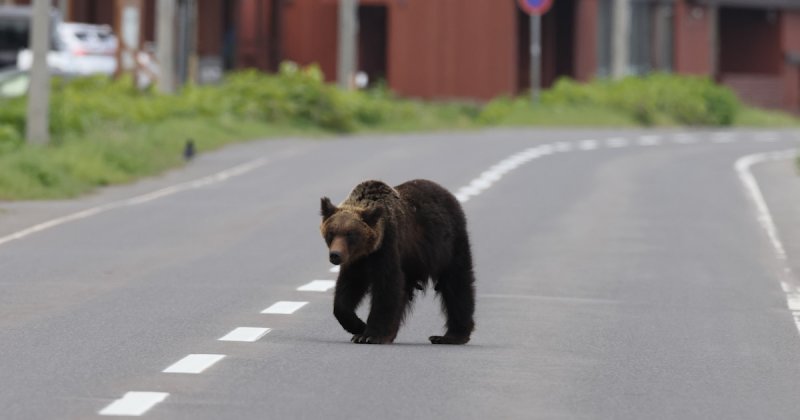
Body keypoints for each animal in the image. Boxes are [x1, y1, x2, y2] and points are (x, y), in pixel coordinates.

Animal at [319, 179, 476, 345]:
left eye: (350, 234)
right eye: (331, 232)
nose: (335, 255)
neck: (369, 250)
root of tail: (446, 192)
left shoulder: (388, 247)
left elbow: (387, 287)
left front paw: (369, 335)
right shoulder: (357, 261)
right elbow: (348, 288)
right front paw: (358, 326)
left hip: (448, 245)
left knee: (457, 284)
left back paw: (451, 336)